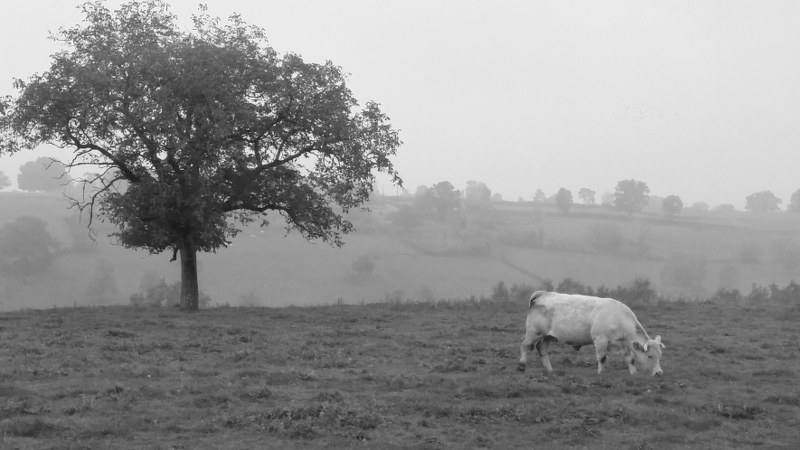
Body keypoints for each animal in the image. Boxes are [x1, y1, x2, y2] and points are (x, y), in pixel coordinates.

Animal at [516, 290, 664, 374]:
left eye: (660, 356)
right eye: (650, 356)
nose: (659, 373)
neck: (618, 318)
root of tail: (544, 293)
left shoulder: (624, 344)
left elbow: (631, 359)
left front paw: (633, 374)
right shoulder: (600, 340)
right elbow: (602, 358)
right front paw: (600, 374)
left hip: (548, 336)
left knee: (542, 349)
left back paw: (549, 370)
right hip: (534, 332)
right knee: (524, 345)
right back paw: (521, 365)